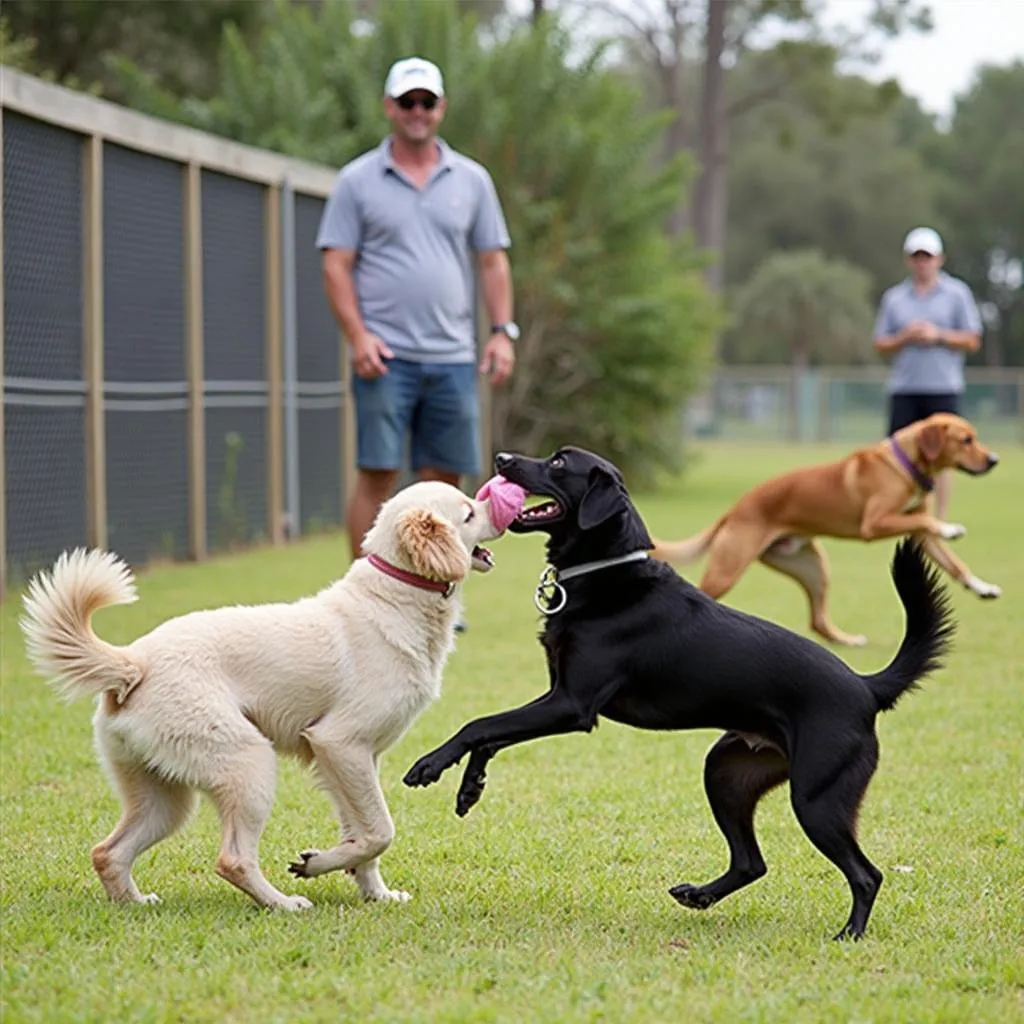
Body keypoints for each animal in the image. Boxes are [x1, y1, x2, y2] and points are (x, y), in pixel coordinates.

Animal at [22, 479, 501, 913]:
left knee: (108, 852)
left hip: (165, 799)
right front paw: (316, 865)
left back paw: (136, 903)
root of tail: (134, 663)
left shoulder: (355, 760)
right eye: (469, 513)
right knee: (231, 860)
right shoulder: (340, 743)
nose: (503, 508)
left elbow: (364, 836)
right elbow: (382, 831)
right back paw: (283, 903)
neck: (396, 597)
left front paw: (375, 894)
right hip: (248, 764)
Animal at [403, 444, 954, 937]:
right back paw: (700, 896)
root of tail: (865, 687)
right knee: (752, 862)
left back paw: (849, 934)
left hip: (817, 797)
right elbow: (491, 735)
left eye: (559, 462)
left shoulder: (571, 705)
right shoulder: (556, 698)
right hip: (728, 772)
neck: (609, 575)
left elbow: (480, 724)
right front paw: (469, 787)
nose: (500, 459)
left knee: (866, 873)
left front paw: (429, 765)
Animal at [651, 411, 995, 643]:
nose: (994, 460)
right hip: (728, 568)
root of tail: (734, 509)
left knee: (818, 620)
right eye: (966, 440)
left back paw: (848, 641)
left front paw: (982, 586)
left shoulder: (920, 535)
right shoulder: (875, 523)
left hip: (812, 567)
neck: (904, 463)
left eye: (975, 437)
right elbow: (927, 520)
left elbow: (954, 562)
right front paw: (950, 528)